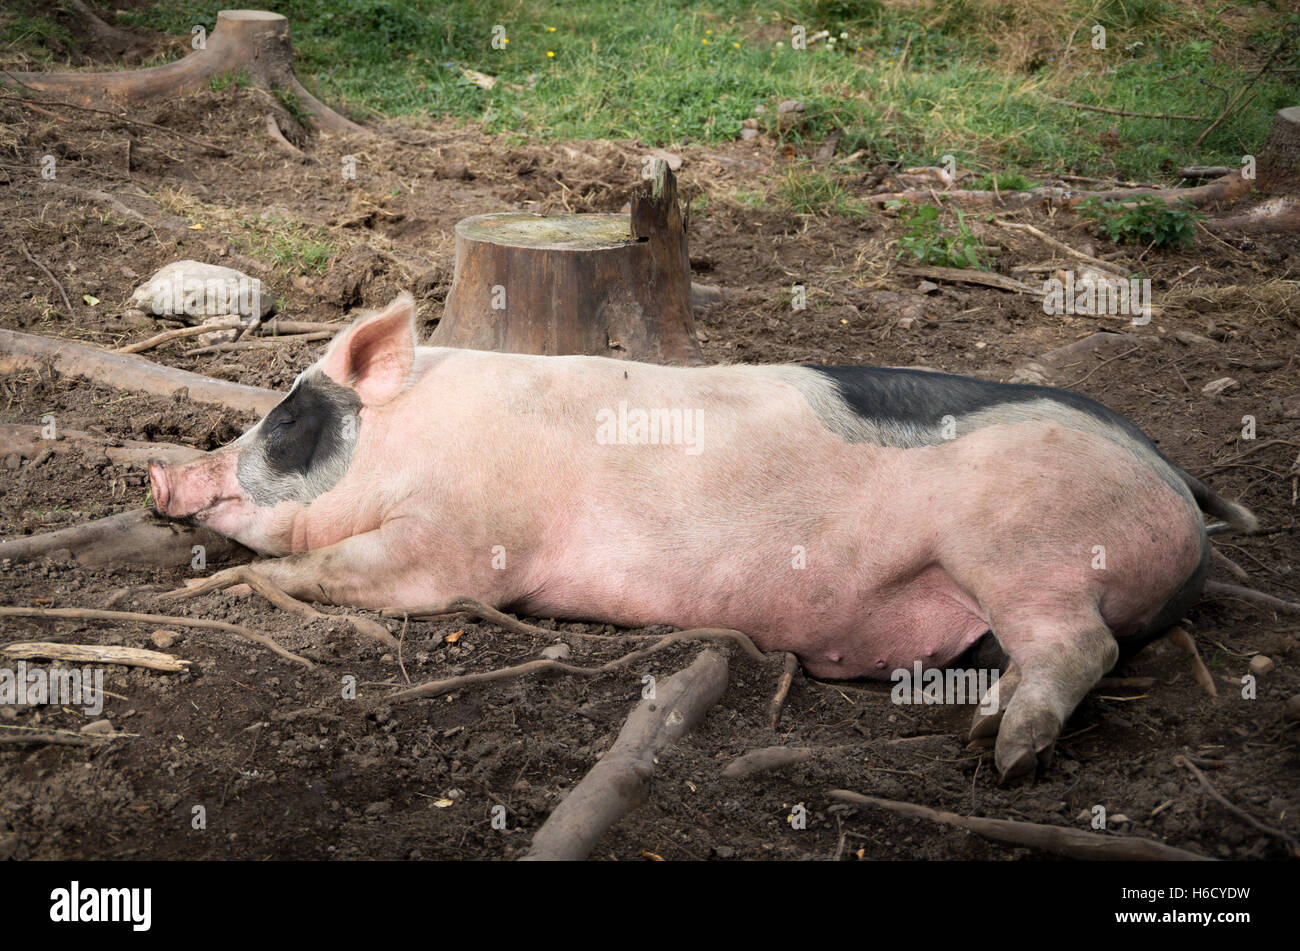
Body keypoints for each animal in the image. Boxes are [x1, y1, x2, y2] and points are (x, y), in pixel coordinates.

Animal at [147, 293, 1253, 774]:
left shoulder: (460, 545)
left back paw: (1000, 752)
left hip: (1028, 554)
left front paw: (201, 592)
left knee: (1082, 644)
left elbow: (329, 565)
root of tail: (1172, 478)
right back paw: (979, 721)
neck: (416, 433)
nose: (160, 472)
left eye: (285, 421)